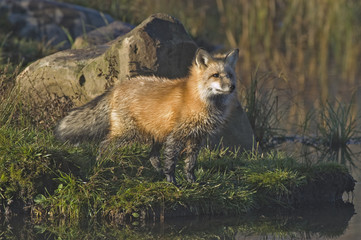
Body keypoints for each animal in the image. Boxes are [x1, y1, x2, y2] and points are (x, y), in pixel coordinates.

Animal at [54, 48, 239, 184]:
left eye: (230, 75)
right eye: (215, 75)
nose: (232, 87)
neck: (201, 101)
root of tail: (117, 86)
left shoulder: (196, 137)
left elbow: (190, 164)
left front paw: (191, 182)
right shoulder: (177, 135)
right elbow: (171, 161)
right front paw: (172, 182)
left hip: (156, 132)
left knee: (152, 156)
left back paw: (157, 171)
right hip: (128, 133)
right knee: (104, 145)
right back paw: (101, 165)